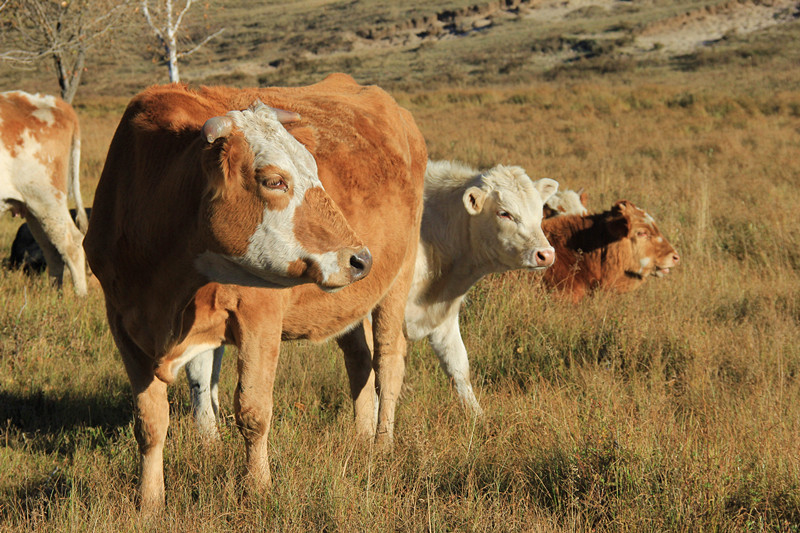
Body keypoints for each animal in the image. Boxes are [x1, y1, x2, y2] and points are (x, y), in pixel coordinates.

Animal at [84, 75, 428, 512]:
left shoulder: (258, 316)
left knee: (388, 360)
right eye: (274, 180)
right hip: (348, 302)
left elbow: (252, 411)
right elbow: (150, 423)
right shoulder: (124, 323)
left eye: (314, 168)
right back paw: (363, 436)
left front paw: (258, 488)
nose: (360, 258)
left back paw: (382, 443)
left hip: (397, 279)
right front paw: (149, 503)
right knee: (359, 359)